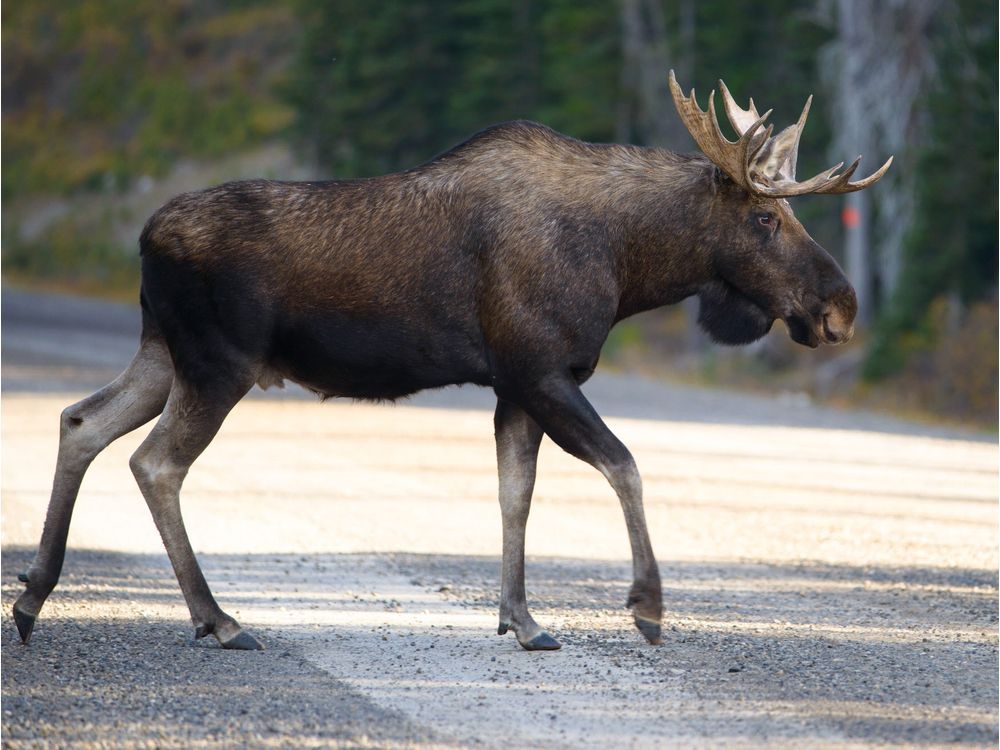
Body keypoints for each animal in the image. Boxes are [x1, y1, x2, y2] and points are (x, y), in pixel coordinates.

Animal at [13, 73, 892, 656]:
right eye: (764, 218)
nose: (841, 307)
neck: (629, 265)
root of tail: (142, 238)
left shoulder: (515, 385)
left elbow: (515, 497)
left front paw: (522, 619)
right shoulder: (542, 369)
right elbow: (625, 466)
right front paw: (647, 606)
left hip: (163, 352)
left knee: (81, 420)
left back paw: (33, 595)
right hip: (218, 362)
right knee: (154, 461)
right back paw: (217, 619)